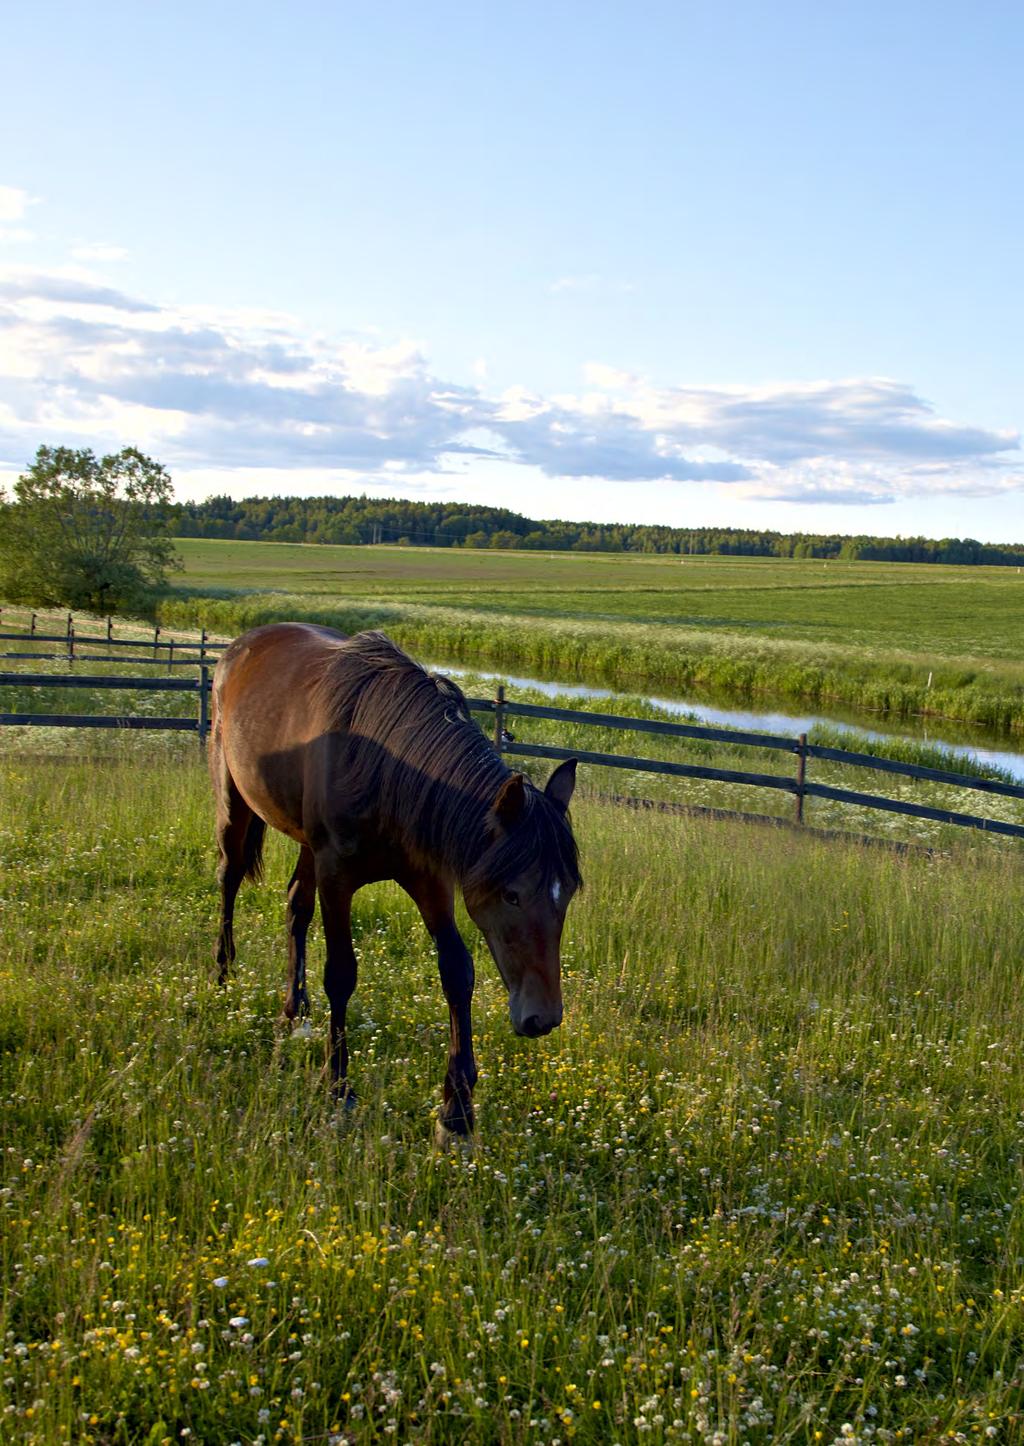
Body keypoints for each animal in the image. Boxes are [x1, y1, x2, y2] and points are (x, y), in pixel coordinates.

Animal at [209, 621, 581, 1139]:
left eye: (566, 895)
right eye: (512, 895)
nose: (542, 1018)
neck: (384, 764)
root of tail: (243, 646)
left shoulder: (430, 879)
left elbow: (457, 971)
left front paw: (457, 1109)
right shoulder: (337, 875)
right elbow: (341, 973)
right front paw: (338, 1086)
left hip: (305, 842)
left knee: (296, 907)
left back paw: (294, 1007)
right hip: (234, 797)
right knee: (229, 877)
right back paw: (223, 973)